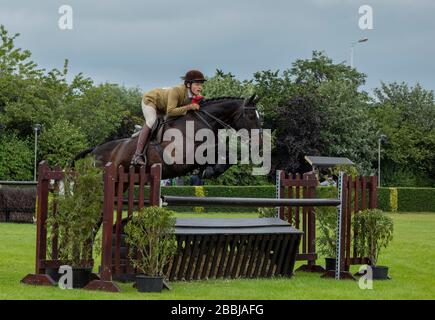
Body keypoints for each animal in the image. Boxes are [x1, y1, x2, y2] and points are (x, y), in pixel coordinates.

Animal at [73, 95, 262, 180]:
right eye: (251, 116)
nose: (260, 143)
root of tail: (95, 149)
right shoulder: (182, 157)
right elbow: (218, 150)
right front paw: (209, 170)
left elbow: (225, 154)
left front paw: (209, 170)